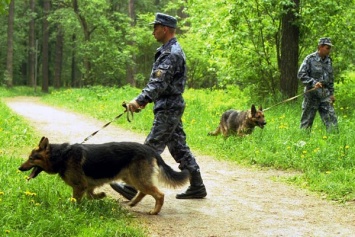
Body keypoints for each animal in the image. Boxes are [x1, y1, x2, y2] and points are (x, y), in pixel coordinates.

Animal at [18, 136, 191, 216]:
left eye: (31, 158)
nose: (19, 168)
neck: (61, 155)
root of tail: (150, 150)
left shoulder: (79, 187)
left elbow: (76, 200)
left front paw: (73, 210)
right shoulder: (87, 186)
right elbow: (91, 195)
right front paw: (101, 195)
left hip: (138, 178)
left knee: (159, 194)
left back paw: (154, 211)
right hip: (130, 177)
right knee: (143, 192)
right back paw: (133, 203)